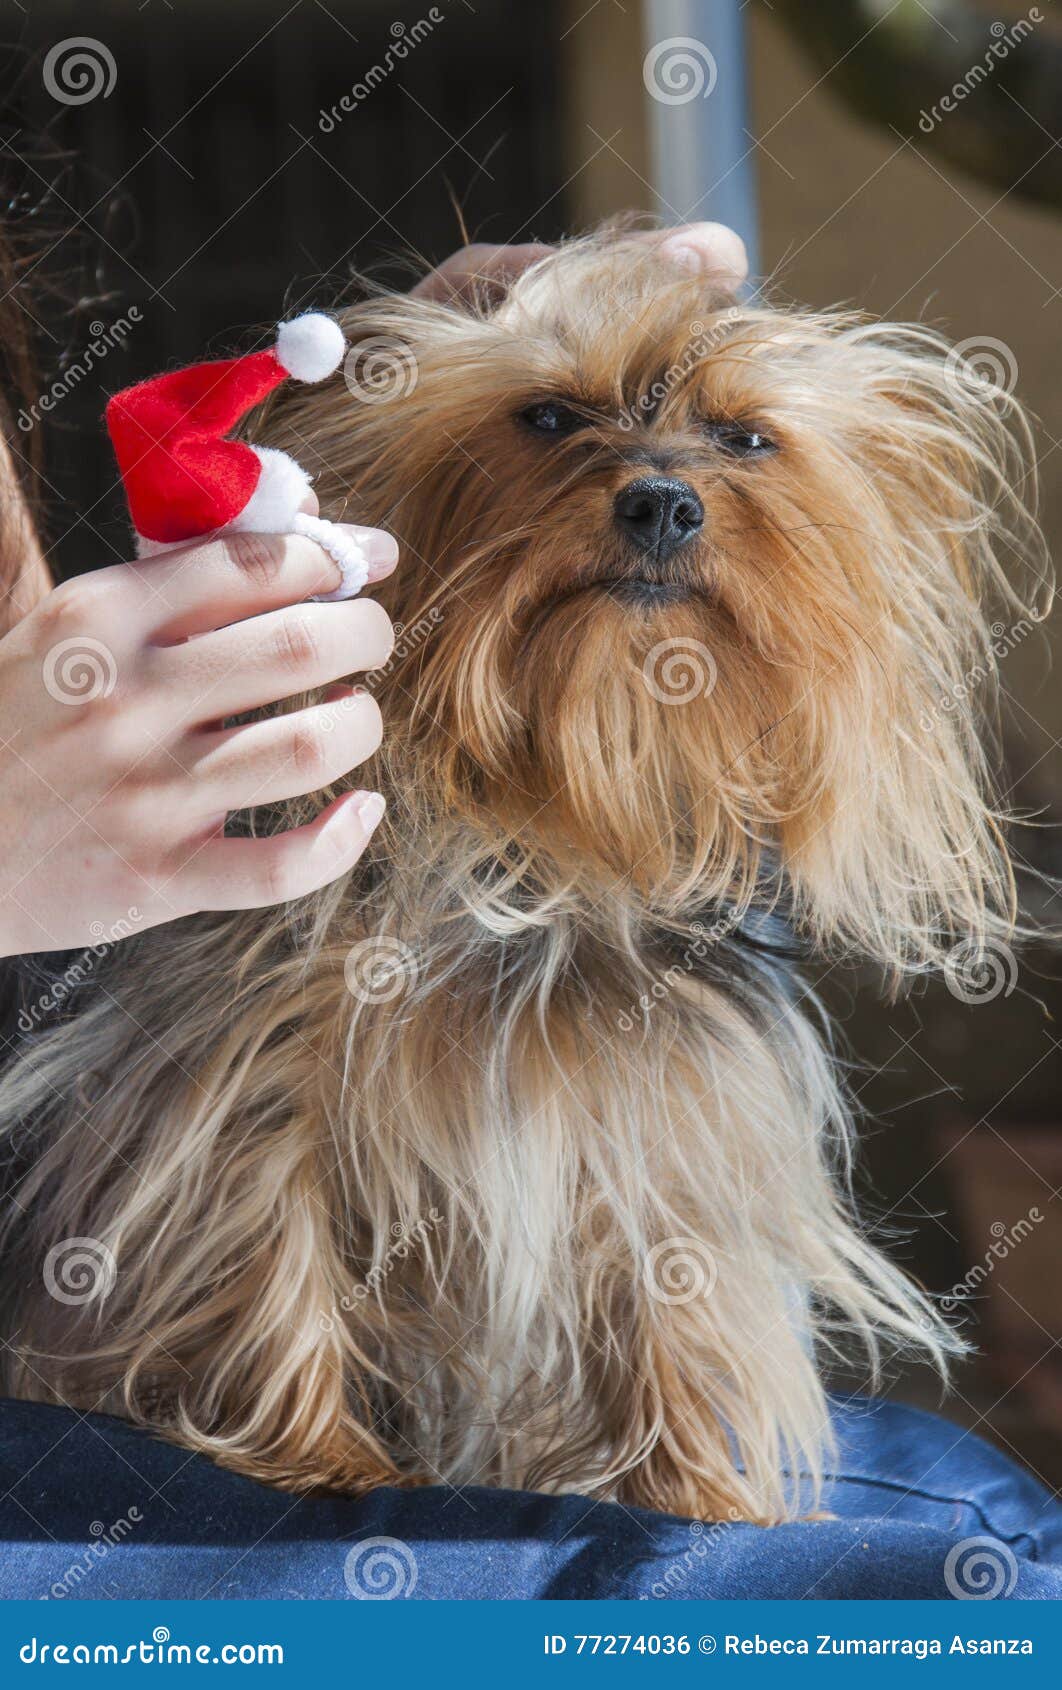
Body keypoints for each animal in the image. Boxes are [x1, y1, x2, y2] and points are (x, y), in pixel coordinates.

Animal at [0, 234, 1048, 1521]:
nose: (661, 500)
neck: (546, 844)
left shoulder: (667, 1098)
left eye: (747, 438)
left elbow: (669, 1269)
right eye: (548, 416)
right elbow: (264, 1225)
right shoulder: (250, 1071)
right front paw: (320, 1450)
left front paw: (687, 1483)